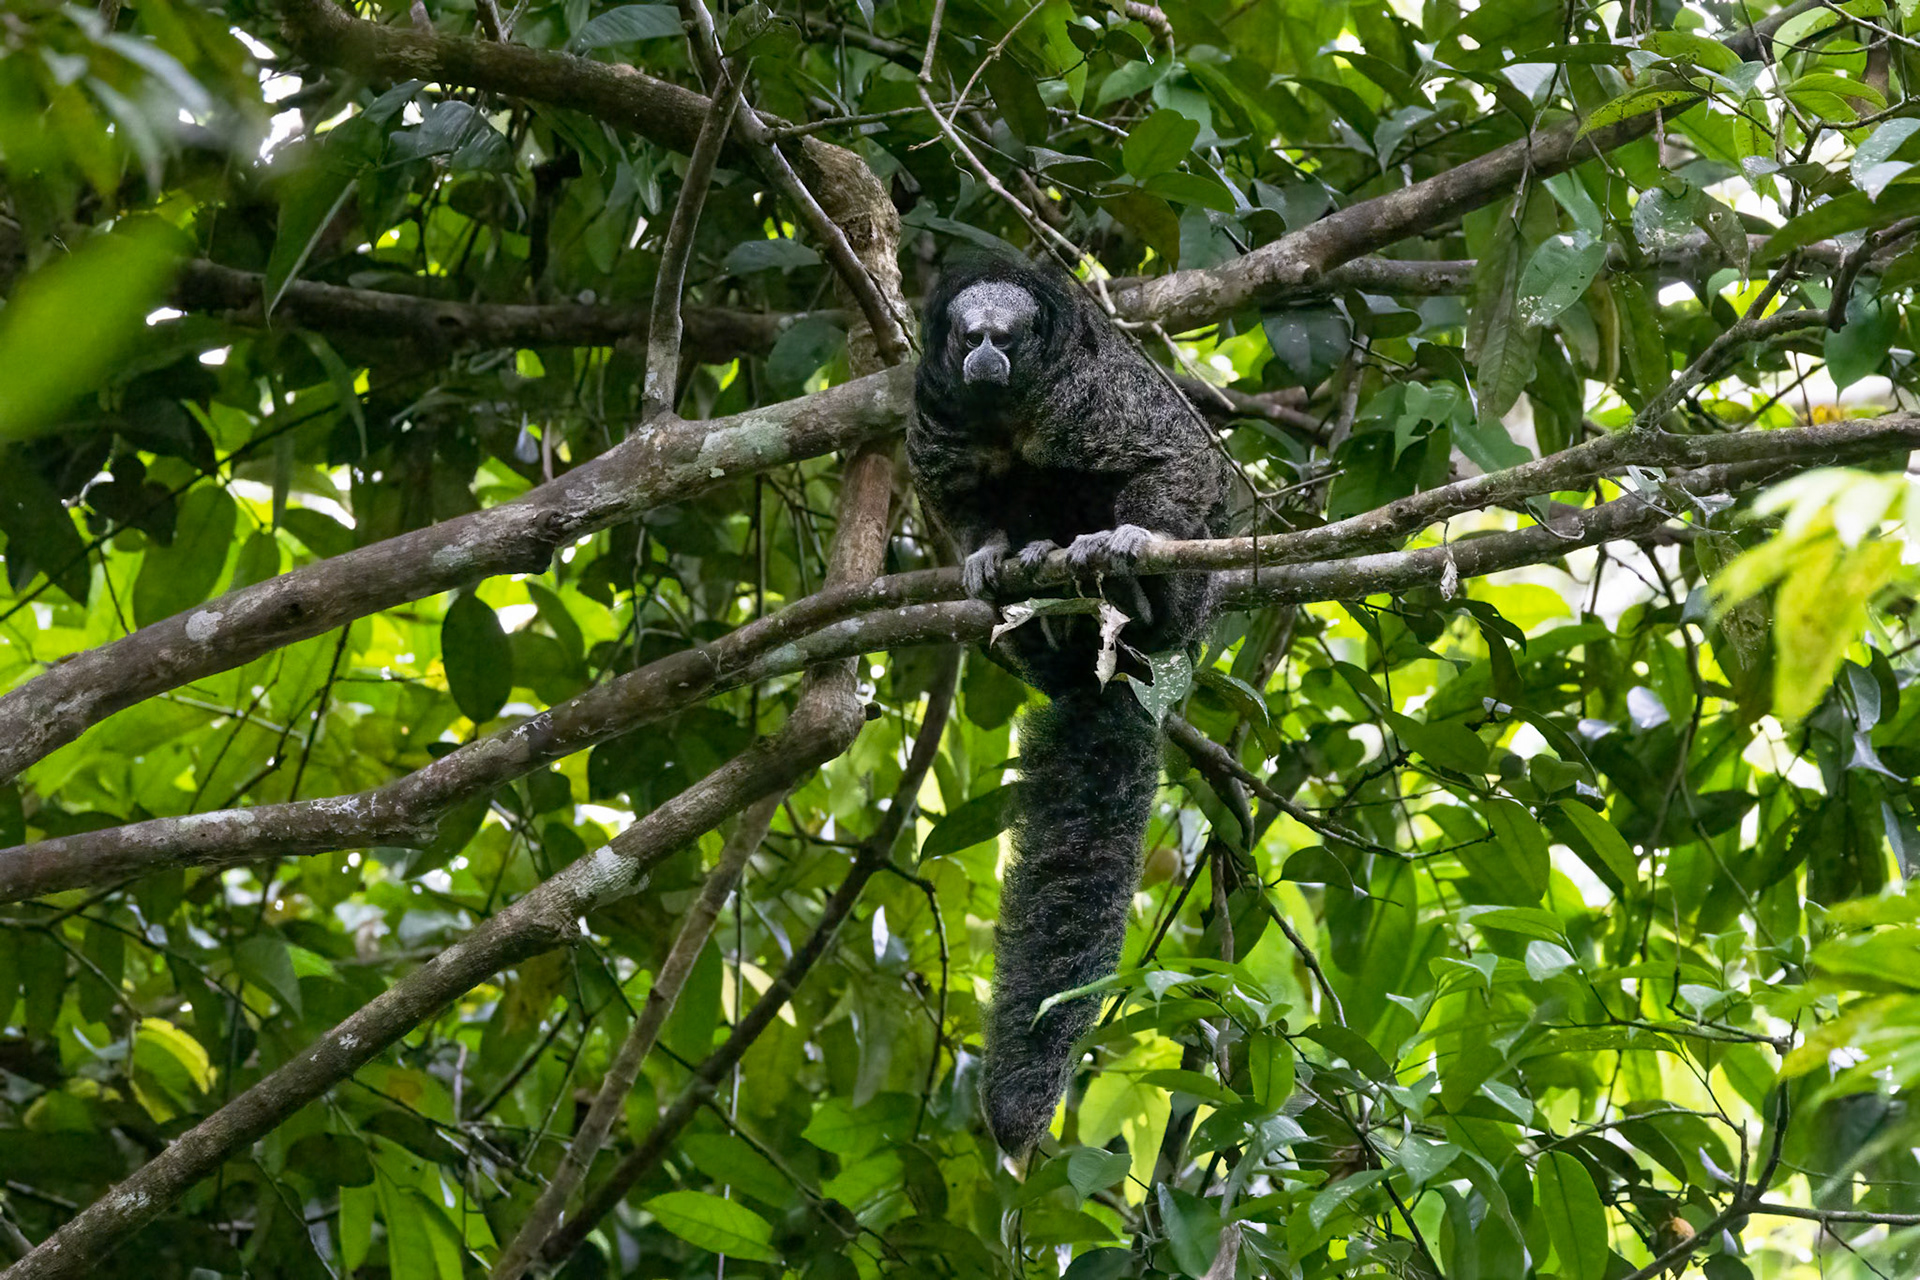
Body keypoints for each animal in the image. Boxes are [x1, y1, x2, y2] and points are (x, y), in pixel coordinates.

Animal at [908, 252, 1232, 1155]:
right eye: (967, 337)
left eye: (1006, 337)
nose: (986, 354)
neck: (1009, 413)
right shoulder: (936, 423)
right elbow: (963, 507)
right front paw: (986, 558)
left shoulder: (1093, 401)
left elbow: (1179, 462)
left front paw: (1128, 541)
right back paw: (1038, 589)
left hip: (1193, 610)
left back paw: (1128, 588)